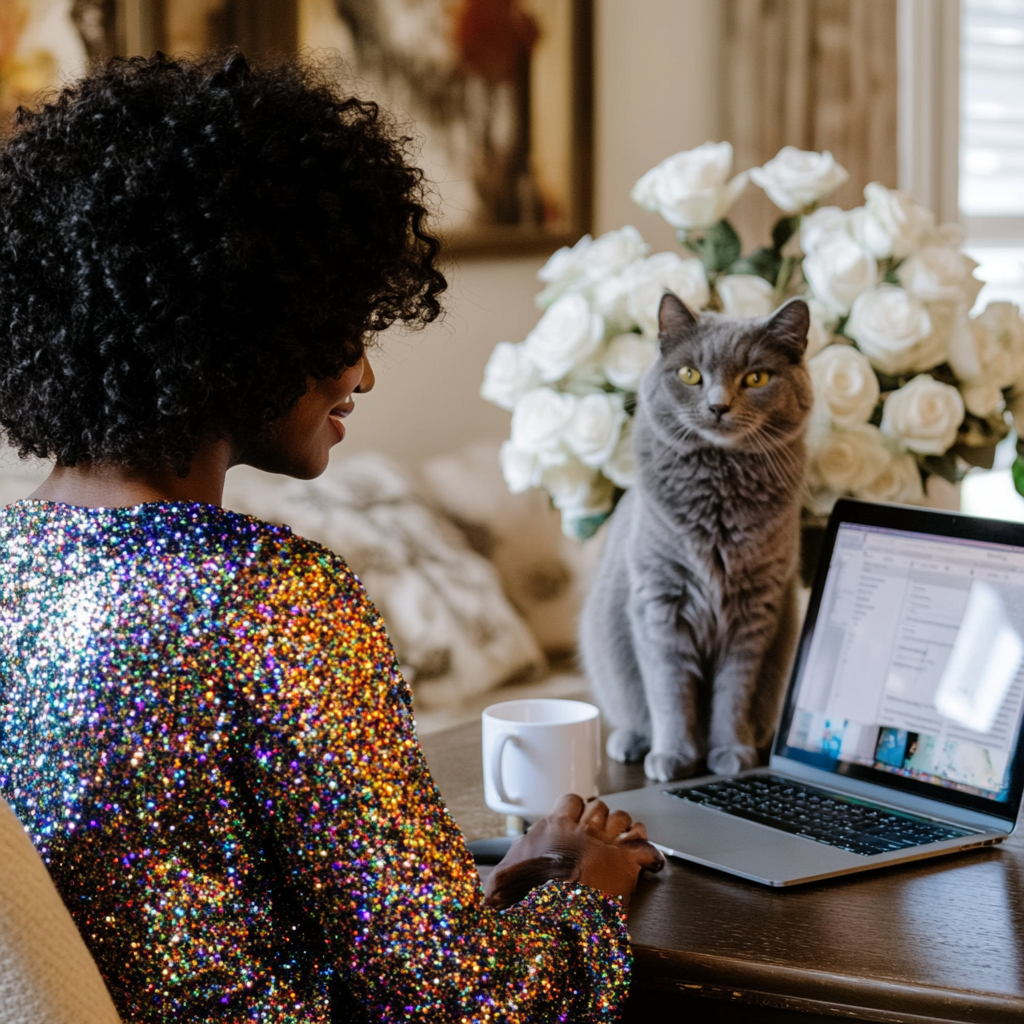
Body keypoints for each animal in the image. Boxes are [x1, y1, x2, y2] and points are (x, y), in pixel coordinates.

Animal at [581, 292, 811, 778]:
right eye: (690, 374)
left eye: (756, 377)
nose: (718, 405)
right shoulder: (660, 603)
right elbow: (669, 692)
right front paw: (672, 756)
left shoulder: (754, 612)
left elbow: (734, 693)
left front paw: (731, 754)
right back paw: (631, 743)